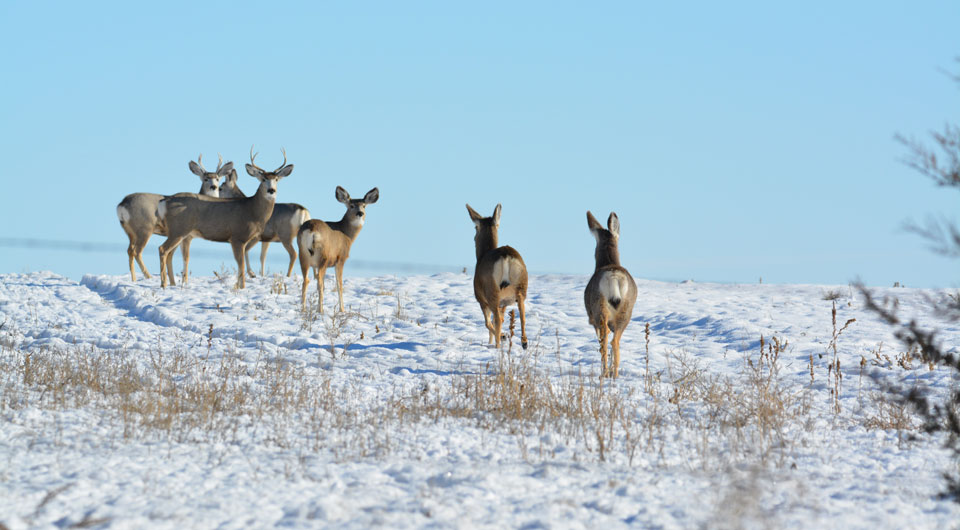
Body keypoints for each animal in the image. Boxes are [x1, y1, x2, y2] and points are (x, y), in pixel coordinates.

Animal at [156, 146, 292, 288]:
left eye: (276, 179)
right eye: (263, 179)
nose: (271, 190)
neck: (252, 211)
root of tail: (164, 201)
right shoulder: (237, 237)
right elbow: (241, 266)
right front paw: (242, 288)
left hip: (179, 232)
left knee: (168, 253)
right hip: (179, 229)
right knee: (162, 249)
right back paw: (163, 284)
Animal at [464, 204, 528, 348]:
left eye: (475, 227)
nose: (474, 238)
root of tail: (506, 256)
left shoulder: (481, 299)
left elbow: (488, 323)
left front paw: (501, 337)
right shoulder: (503, 303)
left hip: (491, 291)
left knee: (497, 320)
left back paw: (499, 345)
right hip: (521, 286)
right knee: (522, 315)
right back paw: (524, 342)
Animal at [580, 208, 632, 378]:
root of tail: (614, 276)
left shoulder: (592, 319)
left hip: (599, 308)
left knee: (605, 340)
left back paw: (605, 373)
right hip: (626, 311)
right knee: (615, 341)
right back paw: (614, 374)